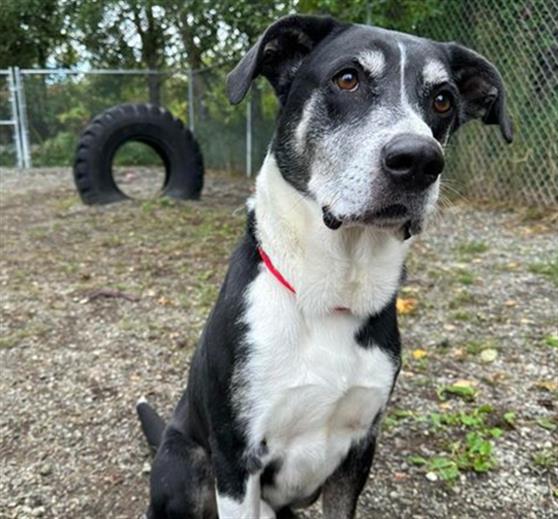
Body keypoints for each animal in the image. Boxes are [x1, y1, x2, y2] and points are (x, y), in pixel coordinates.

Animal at [138, 14, 516, 516]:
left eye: (443, 100)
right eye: (348, 78)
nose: (419, 159)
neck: (332, 294)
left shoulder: (359, 450)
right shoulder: (238, 460)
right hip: (187, 465)